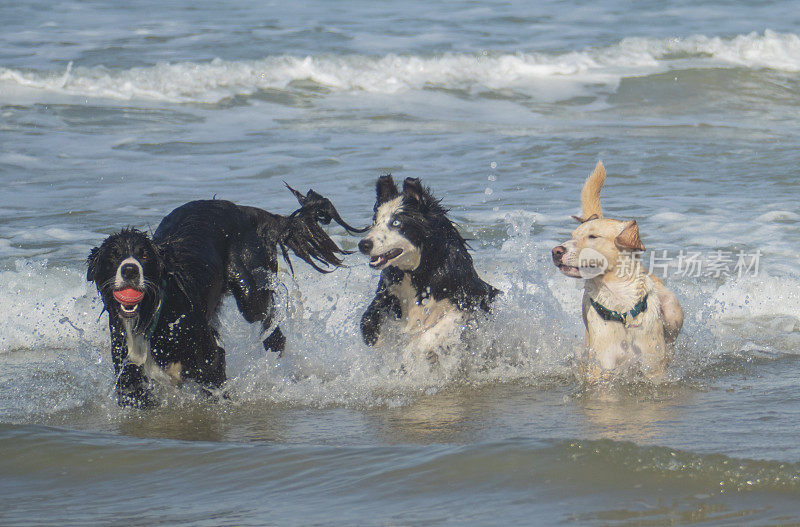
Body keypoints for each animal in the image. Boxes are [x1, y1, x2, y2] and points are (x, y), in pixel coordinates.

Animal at [87, 187, 362, 408]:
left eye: (144, 256)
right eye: (113, 256)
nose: (130, 270)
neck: (153, 313)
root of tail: (243, 210)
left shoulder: (208, 357)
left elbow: (215, 382)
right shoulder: (128, 370)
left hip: (249, 289)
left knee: (269, 322)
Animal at [358, 175, 500, 360]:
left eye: (396, 222)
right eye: (375, 222)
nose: (363, 245)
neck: (419, 270)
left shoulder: (470, 300)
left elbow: (434, 332)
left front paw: (414, 349)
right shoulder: (389, 292)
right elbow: (368, 317)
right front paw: (374, 338)